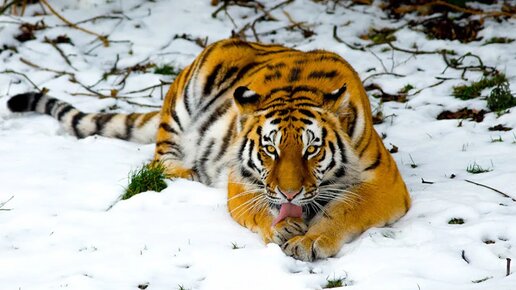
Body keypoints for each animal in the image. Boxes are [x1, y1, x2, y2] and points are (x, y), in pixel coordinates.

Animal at [7, 37, 412, 262]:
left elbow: (343, 209)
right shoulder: (241, 182)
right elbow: (260, 211)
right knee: (158, 163)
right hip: (184, 100)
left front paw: (310, 240)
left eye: (311, 150)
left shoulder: (385, 184)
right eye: (270, 149)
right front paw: (283, 228)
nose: (289, 192)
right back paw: (189, 173)